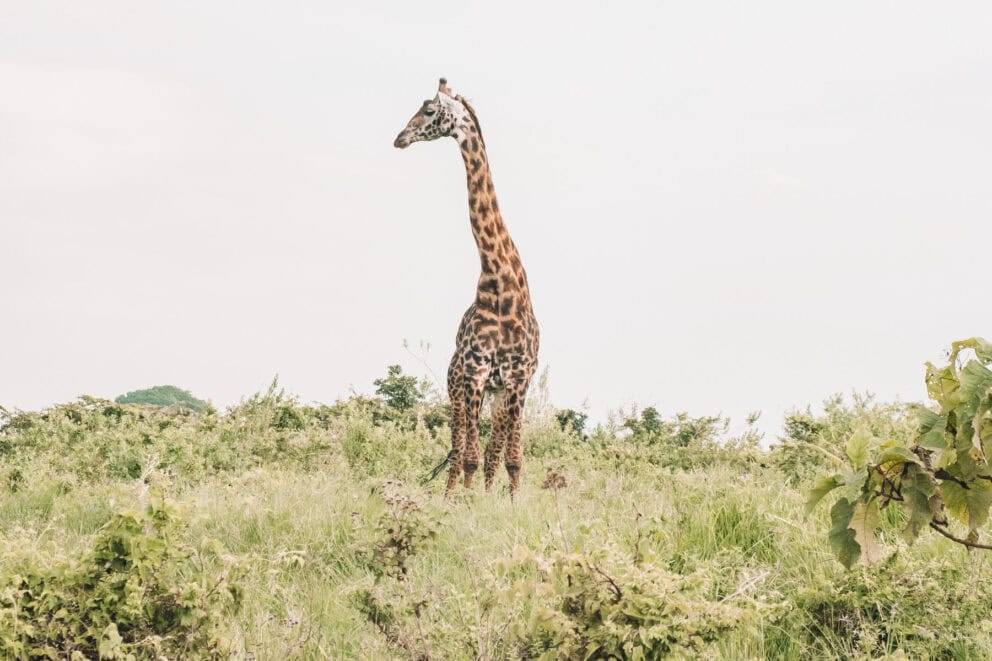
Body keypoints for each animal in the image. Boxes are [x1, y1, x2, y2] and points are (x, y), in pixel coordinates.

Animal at [394, 78, 540, 496]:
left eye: (428, 110)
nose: (399, 138)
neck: (501, 283)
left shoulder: (517, 379)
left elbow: (510, 458)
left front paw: (506, 503)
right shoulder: (474, 372)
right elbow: (471, 456)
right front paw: (464, 505)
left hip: (496, 392)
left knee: (487, 451)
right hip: (456, 386)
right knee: (459, 450)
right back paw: (450, 496)